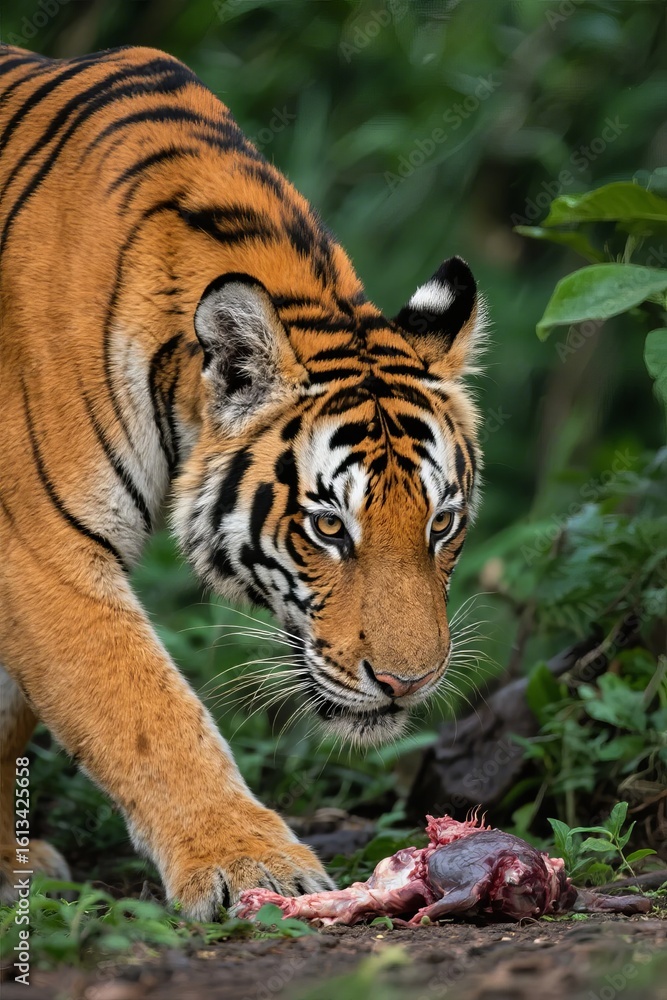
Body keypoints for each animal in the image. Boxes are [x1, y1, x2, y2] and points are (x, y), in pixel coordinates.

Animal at [0, 44, 486, 919]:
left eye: (441, 524)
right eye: (328, 527)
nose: (407, 684)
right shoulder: (39, 545)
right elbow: (142, 710)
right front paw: (249, 864)